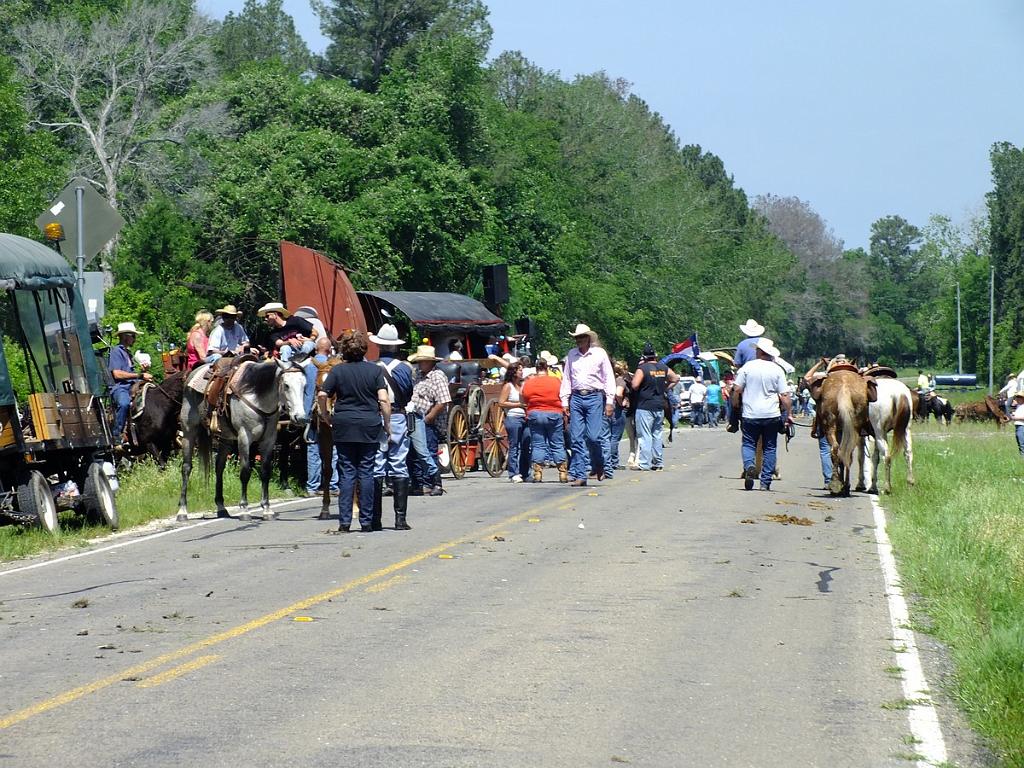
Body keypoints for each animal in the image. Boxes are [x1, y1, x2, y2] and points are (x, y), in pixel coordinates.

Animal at [178, 360, 305, 524]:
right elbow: (245, 472)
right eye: (287, 385)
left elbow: (265, 472)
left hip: (225, 439)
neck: (257, 397)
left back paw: (221, 507)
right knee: (186, 468)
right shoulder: (244, 437)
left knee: (219, 467)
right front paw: (244, 509)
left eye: (304, 385)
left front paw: (267, 509)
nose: (300, 417)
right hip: (189, 431)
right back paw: (182, 511)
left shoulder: (269, 440)